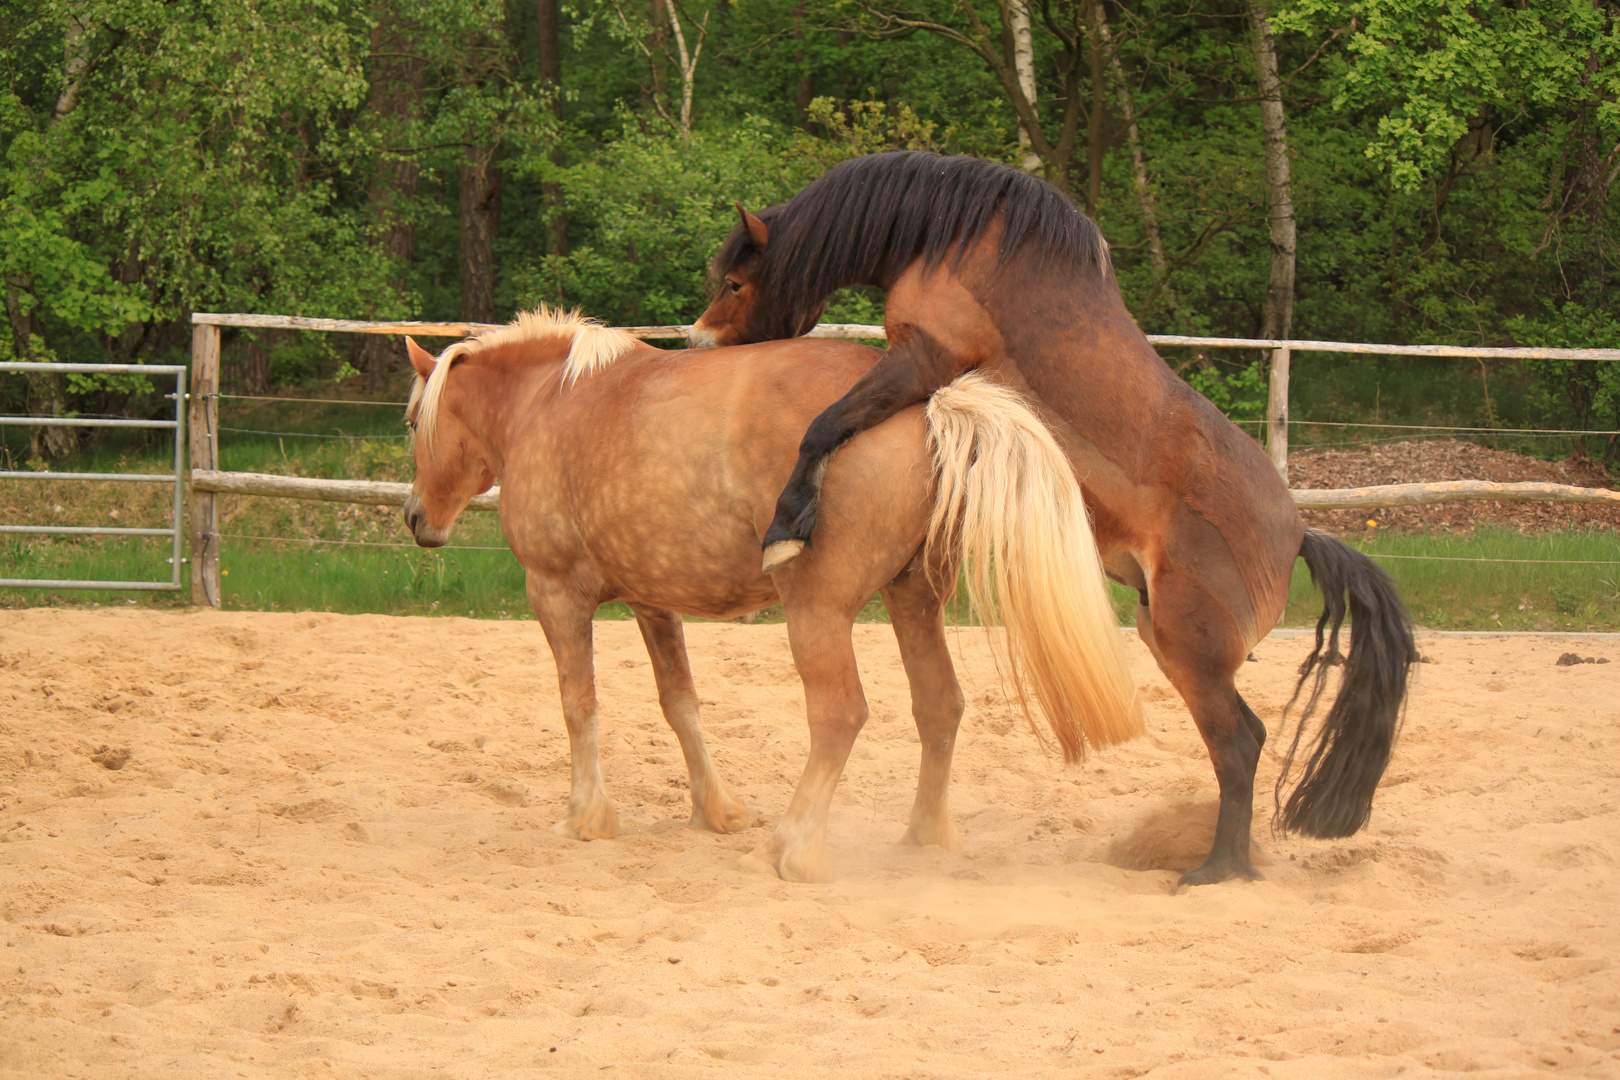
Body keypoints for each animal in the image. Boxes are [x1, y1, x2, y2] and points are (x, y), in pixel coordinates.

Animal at [403, 307, 1140, 880]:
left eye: (412, 421)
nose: (415, 518)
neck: (551, 402)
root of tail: (925, 407)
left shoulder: (556, 594)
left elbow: (577, 703)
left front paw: (584, 815)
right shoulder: (652, 601)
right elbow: (680, 704)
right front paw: (716, 809)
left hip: (818, 613)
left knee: (841, 714)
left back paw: (793, 848)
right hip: (913, 600)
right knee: (940, 706)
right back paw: (925, 837)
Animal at [690, 149, 1412, 887]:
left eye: (739, 282)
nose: (699, 342)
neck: (952, 240)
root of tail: (1298, 534)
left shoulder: (923, 359)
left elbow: (826, 424)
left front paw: (787, 526)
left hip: (1190, 646)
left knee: (1238, 744)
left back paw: (1217, 870)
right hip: (1166, 638)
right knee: (1245, 737)